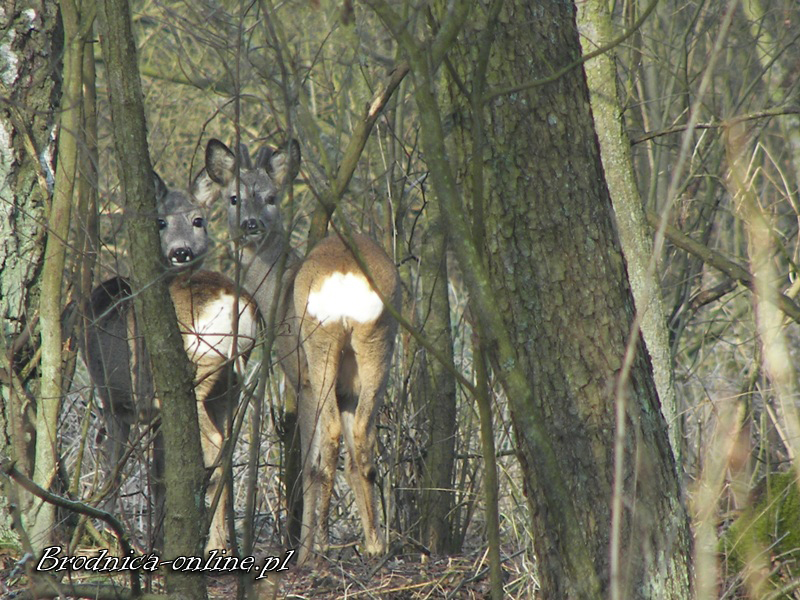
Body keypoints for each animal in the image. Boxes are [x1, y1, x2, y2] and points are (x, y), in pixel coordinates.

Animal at [83, 172, 258, 553]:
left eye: (198, 220)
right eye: (160, 221)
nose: (181, 252)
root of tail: (236, 304)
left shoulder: (119, 400)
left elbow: (117, 468)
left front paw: (110, 534)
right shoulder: (158, 413)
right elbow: (159, 474)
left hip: (195, 372)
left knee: (214, 447)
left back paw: (213, 545)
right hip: (229, 385)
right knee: (226, 448)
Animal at [192, 138, 400, 564]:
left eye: (272, 197)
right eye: (234, 197)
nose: (251, 224)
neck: (278, 290)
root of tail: (350, 278)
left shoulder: (298, 375)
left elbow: (309, 463)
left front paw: (304, 549)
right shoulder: (348, 385)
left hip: (320, 343)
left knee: (331, 438)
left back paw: (316, 549)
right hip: (379, 340)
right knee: (363, 436)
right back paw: (375, 545)